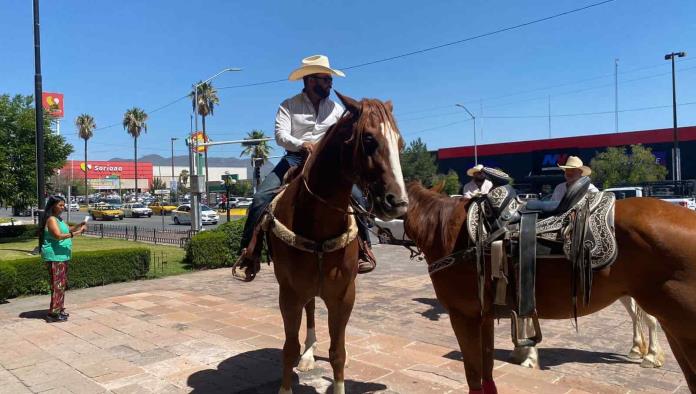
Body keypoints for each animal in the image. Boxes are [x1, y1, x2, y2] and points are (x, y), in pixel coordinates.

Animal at [250, 93, 406, 394]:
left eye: (400, 143)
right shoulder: (289, 293)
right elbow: (289, 347)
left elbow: (338, 352)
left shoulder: (343, 295)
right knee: (309, 311)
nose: (399, 203)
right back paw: (307, 356)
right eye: (369, 139)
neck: (317, 220)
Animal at [402, 180, 696, 392]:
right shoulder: (485, 314)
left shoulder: (464, 315)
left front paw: (527, 355)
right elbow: (488, 368)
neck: (450, 233)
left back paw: (650, 355)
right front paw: (524, 354)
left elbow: (475, 374)